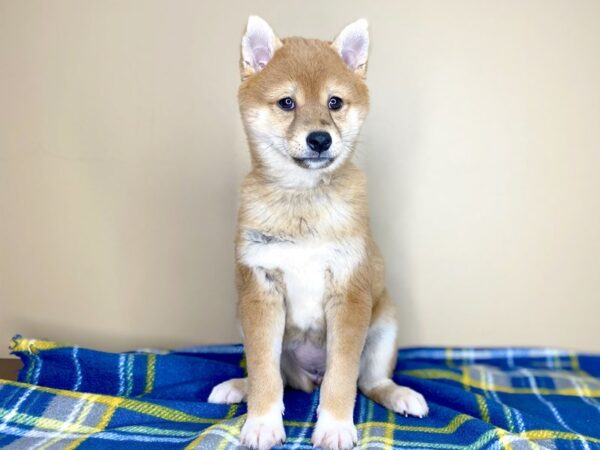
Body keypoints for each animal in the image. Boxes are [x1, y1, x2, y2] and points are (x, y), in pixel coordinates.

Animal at [209, 15, 428, 450]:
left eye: (334, 103)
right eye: (287, 103)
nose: (320, 139)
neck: (303, 201)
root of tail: (309, 376)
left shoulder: (350, 295)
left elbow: (342, 378)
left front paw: (335, 426)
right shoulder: (260, 290)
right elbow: (264, 371)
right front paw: (261, 421)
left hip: (384, 325)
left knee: (370, 381)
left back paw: (399, 394)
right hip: (243, 315)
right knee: (276, 375)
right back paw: (240, 386)